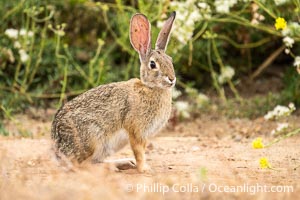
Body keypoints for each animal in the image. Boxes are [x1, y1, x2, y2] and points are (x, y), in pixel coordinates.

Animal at [51, 11, 176, 173]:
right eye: (153, 64)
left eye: (170, 60)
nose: (172, 79)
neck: (150, 88)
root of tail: (58, 150)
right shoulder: (136, 131)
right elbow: (139, 152)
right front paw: (145, 169)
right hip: (93, 138)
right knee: (81, 165)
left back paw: (122, 163)